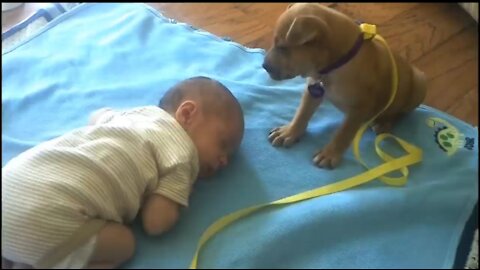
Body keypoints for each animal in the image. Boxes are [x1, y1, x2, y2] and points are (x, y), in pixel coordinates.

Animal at [264, 3, 426, 169]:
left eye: (283, 48)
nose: (264, 66)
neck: (336, 64)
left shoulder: (360, 107)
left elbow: (344, 133)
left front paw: (329, 154)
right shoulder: (313, 89)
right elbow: (302, 113)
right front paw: (290, 132)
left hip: (419, 84)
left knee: (401, 112)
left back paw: (384, 123)